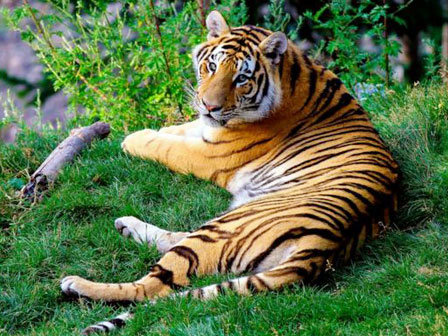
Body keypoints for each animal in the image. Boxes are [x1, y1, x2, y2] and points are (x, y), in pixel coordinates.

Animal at [60, 9, 400, 334]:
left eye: (241, 79)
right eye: (211, 66)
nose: (210, 106)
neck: (293, 73)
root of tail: (323, 248)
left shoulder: (211, 154)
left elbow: (166, 146)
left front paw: (134, 138)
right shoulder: (208, 130)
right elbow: (182, 129)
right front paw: (164, 128)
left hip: (224, 226)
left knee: (152, 287)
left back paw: (76, 284)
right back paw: (126, 225)